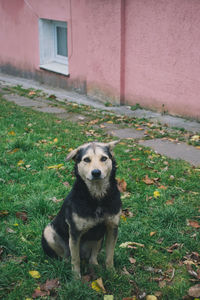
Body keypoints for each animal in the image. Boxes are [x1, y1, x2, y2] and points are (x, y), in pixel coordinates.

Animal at [41, 141, 121, 276]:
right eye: (86, 159)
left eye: (104, 158)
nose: (96, 172)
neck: (97, 198)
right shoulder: (75, 232)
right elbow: (75, 259)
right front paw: (76, 278)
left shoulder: (112, 227)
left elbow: (110, 255)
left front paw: (112, 274)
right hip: (48, 232)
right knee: (66, 256)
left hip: (98, 238)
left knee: (93, 256)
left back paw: (95, 265)